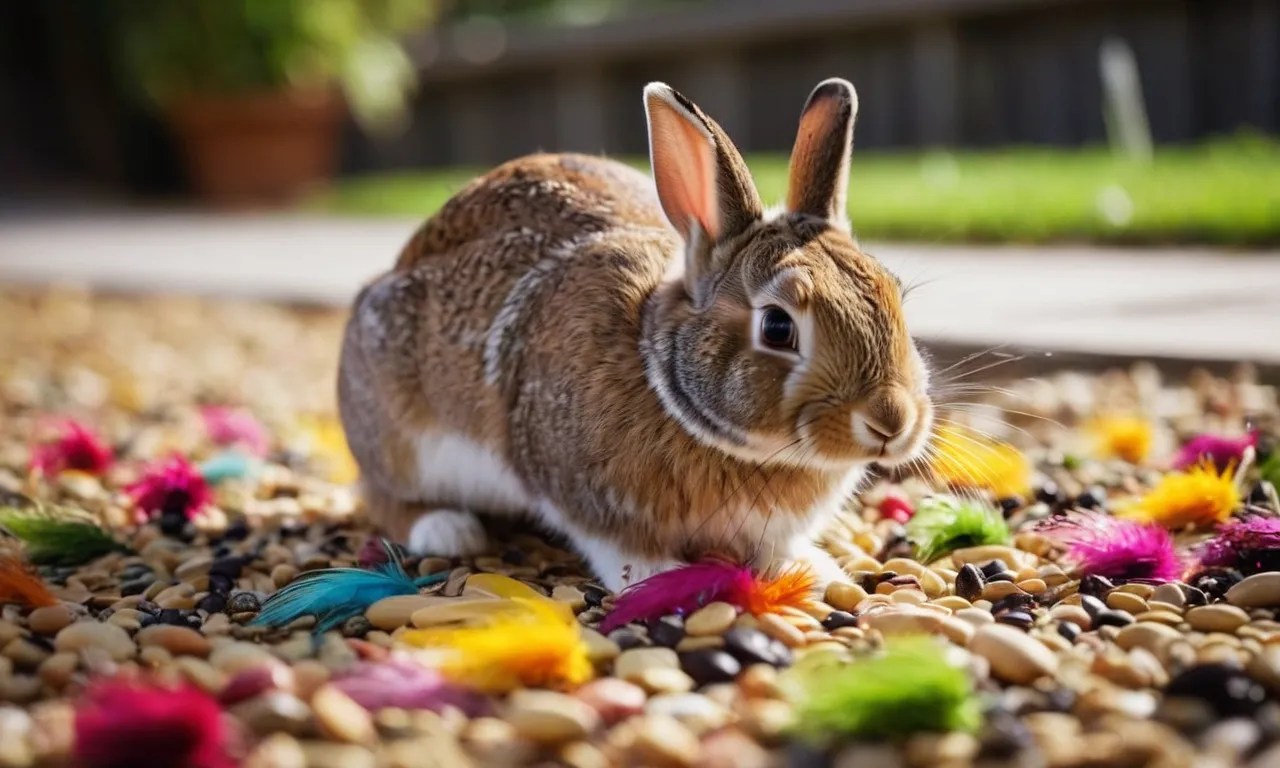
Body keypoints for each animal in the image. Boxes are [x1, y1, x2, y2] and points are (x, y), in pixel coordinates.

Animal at [337, 77, 934, 593]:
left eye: (895, 294)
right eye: (777, 326)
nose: (891, 419)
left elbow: (777, 548)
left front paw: (816, 572)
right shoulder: (578, 492)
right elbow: (619, 550)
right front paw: (658, 578)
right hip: (399, 438)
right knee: (381, 494)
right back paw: (448, 530)